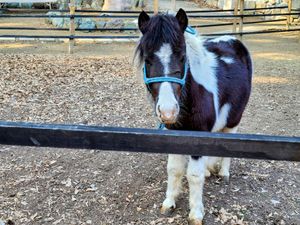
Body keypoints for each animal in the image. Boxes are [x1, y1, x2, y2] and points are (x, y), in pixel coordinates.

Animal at [135, 8, 252, 225]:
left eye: (182, 57)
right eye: (147, 59)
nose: (168, 111)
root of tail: (234, 40)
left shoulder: (199, 132)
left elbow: (194, 176)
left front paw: (196, 212)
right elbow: (174, 169)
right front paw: (169, 203)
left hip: (234, 118)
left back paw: (223, 172)